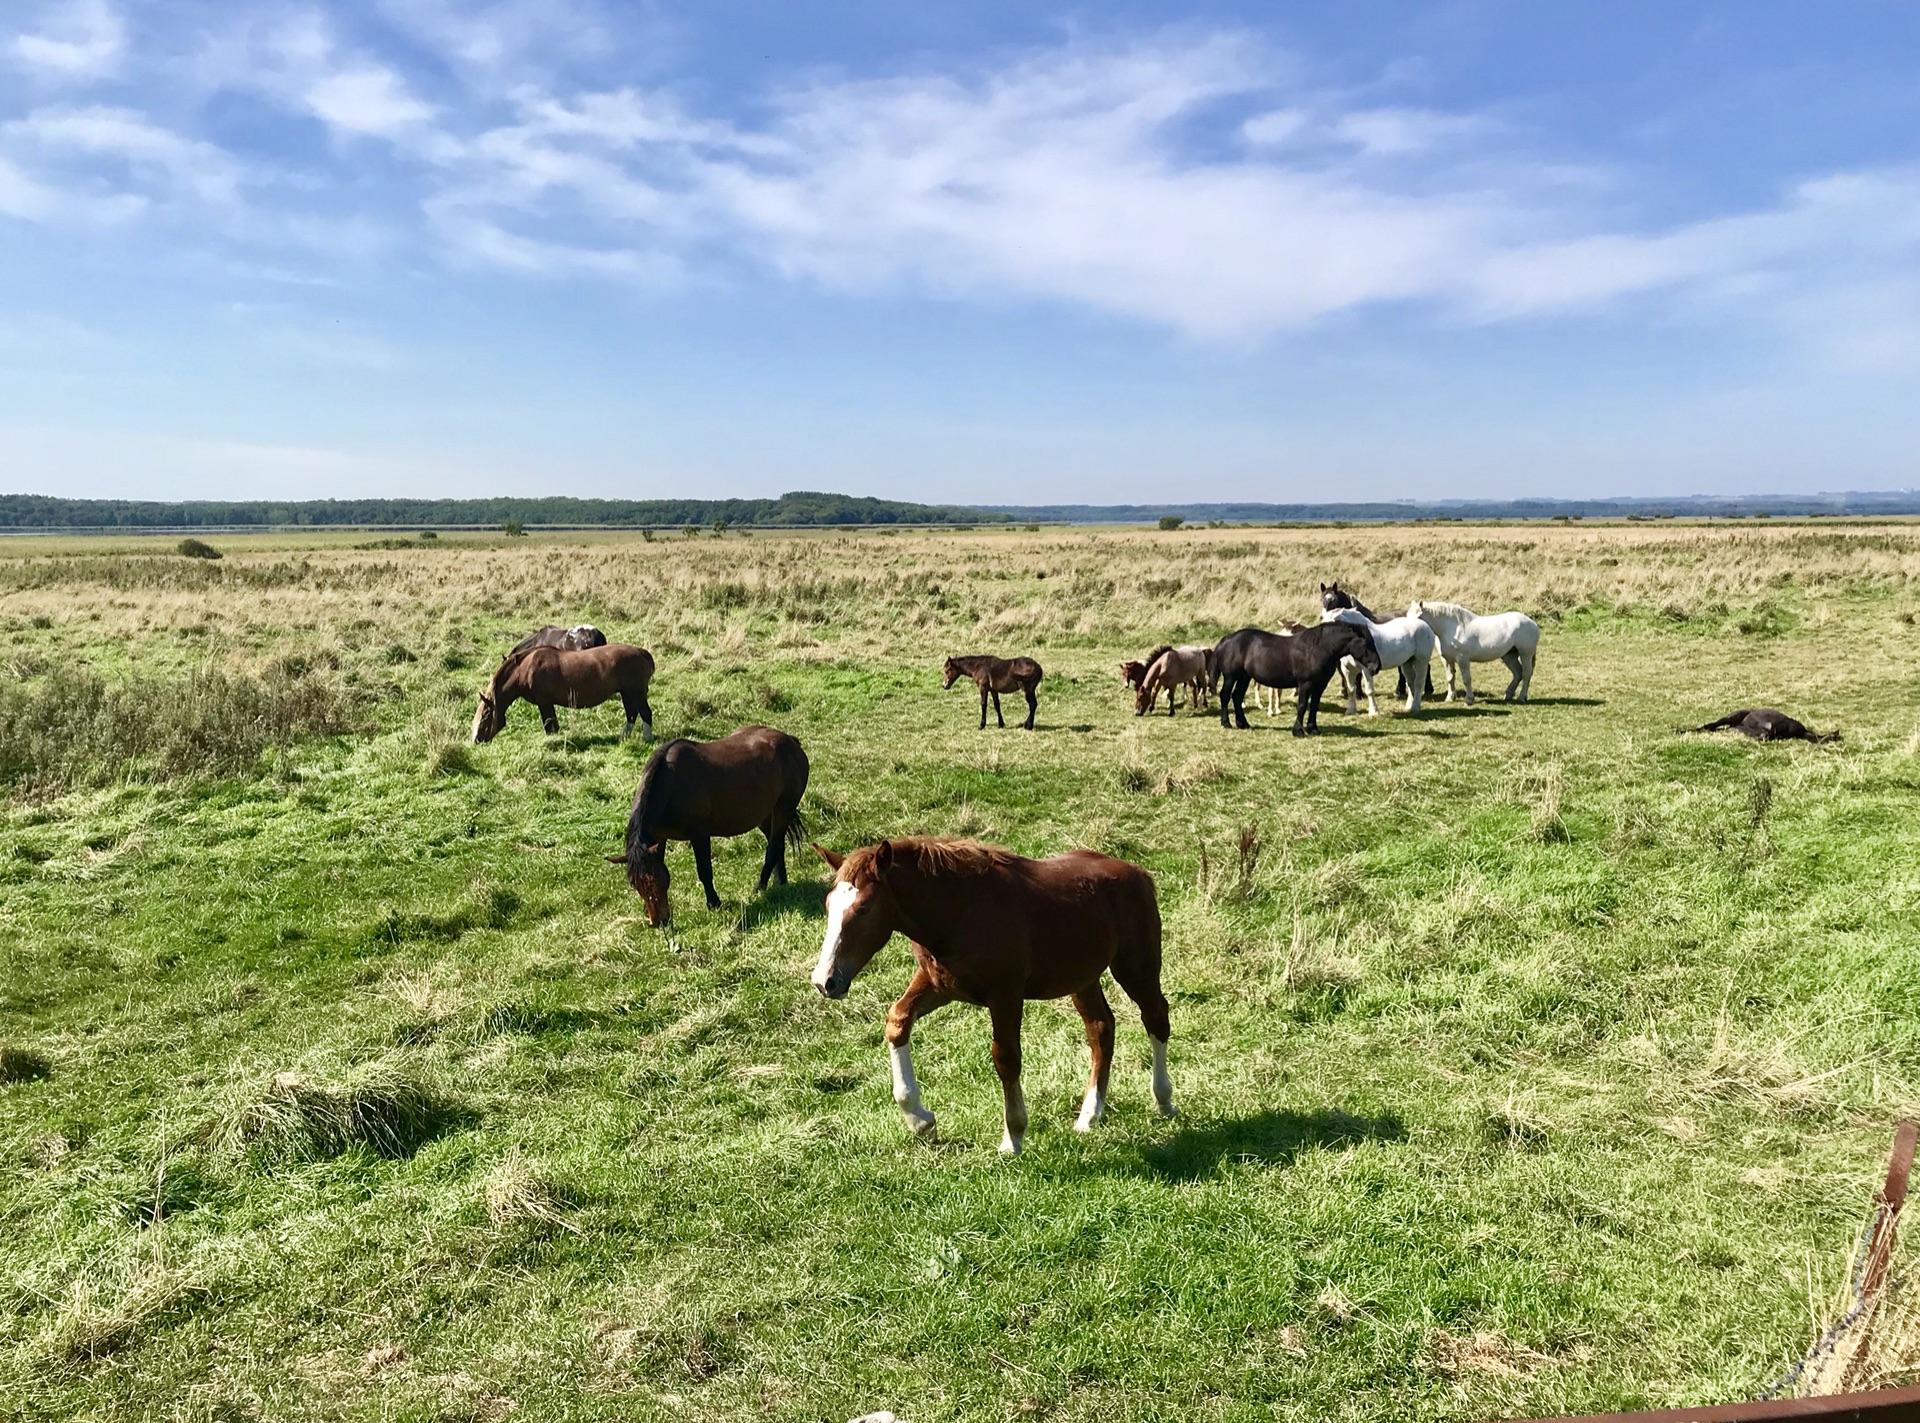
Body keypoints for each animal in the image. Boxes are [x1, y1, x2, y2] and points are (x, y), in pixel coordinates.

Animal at [470, 645, 652, 745]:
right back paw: (624, 737)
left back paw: (646, 738)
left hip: (635, 694)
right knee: (632, 714)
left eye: (486, 714)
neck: (524, 669)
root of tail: (641, 652)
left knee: (645, 713)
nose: (476, 739)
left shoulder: (544, 703)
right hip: (627, 694)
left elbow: (550, 725)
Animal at [606, 722, 802, 933]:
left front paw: (713, 903)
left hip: (783, 808)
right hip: (766, 815)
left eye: (658, 877)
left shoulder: (699, 835)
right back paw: (780, 882)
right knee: (778, 844)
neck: (671, 785)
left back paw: (760, 886)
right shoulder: (661, 839)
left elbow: (704, 870)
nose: (660, 922)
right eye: (635, 884)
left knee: (773, 846)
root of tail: (791, 742)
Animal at [806, 833, 1167, 1152]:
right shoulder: (939, 985)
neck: (959, 910)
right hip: (1082, 979)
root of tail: (1137, 872)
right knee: (1101, 1029)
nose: (825, 980)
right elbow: (897, 1021)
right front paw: (920, 1120)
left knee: (1156, 1017)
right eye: (827, 904)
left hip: (1136, 969)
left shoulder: (1005, 995)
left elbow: (1006, 1057)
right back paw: (1089, 1116)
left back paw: (1164, 1101)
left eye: (864, 908)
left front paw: (1013, 1137)